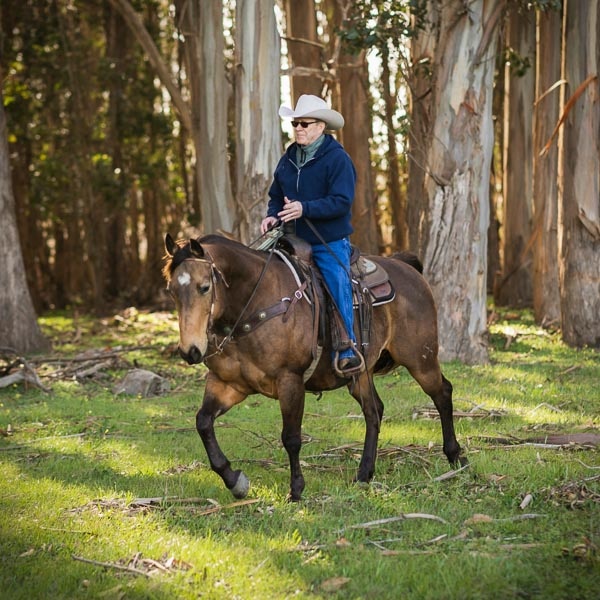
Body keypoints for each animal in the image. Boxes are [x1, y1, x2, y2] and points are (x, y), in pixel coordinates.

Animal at [162, 234, 462, 502]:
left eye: (204, 287)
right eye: (172, 291)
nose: (190, 350)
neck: (253, 305)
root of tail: (408, 269)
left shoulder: (290, 380)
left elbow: (291, 437)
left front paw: (296, 490)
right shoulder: (227, 384)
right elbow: (203, 422)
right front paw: (235, 481)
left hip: (420, 359)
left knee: (442, 393)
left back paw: (455, 456)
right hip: (361, 373)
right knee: (374, 410)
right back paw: (364, 473)